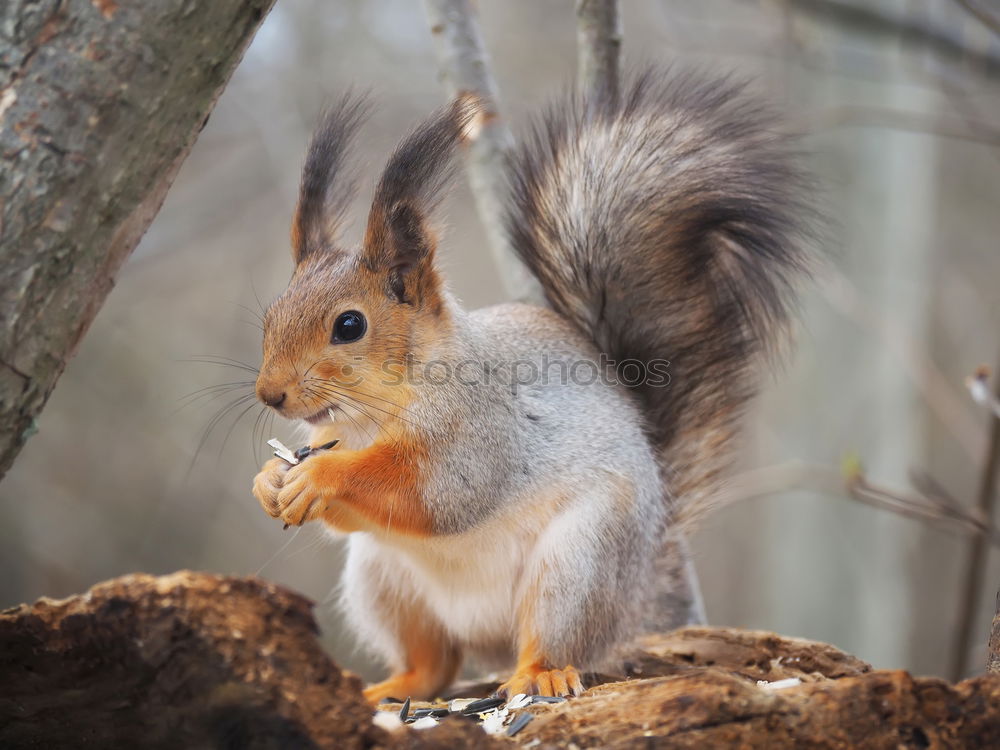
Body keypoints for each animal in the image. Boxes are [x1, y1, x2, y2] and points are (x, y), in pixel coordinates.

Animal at [250, 70, 812, 704]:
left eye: (349, 325)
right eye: (270, 316)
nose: (270, 395)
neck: (370, 417)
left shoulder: (481, 431)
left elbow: (438, 494)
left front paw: (320, 476)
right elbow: (346, 514)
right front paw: (269, 480)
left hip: (579, 565)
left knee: (550, 637)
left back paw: (540, 674)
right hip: (382, 576)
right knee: (436, 663)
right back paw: (392, 689)